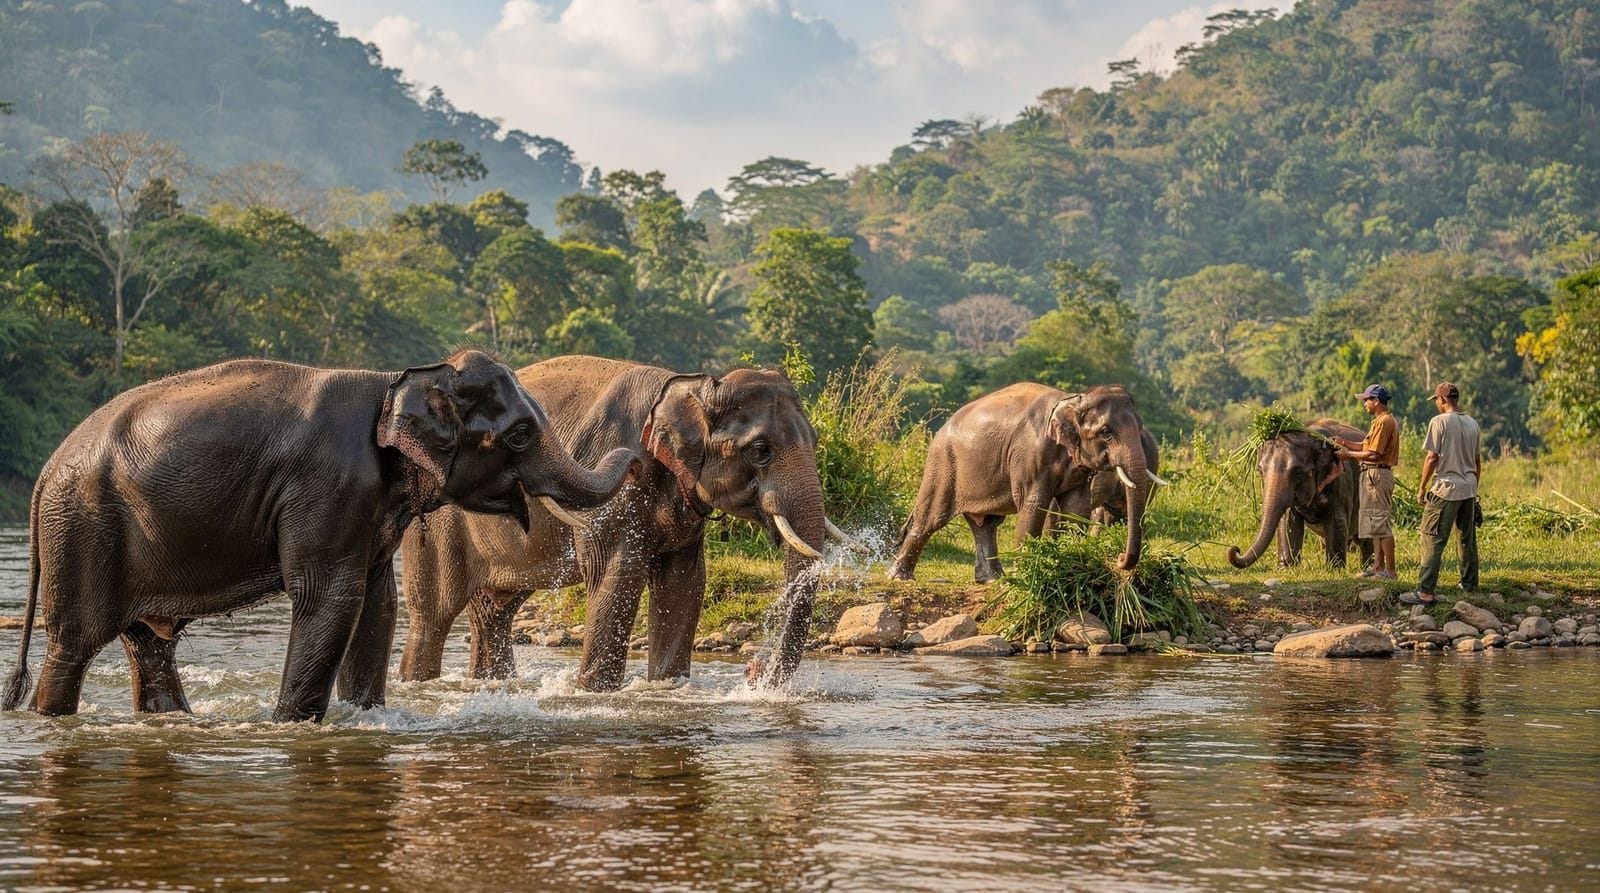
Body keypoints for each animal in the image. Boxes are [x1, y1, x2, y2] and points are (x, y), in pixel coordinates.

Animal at [1, 349, 637, 722]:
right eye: (521, 434)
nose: (637, 452)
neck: (398, 380)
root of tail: (42, 478)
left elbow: (377, 602)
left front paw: (364, 718)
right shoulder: (331, 482)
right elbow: (330, 597)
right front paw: (294, 727)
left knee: (149, 643)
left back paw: (169, 718)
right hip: (82, 529)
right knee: (76, 640)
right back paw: (48, 718)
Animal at [399, 356, 848, 692]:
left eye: (814, 440)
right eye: (760, 450)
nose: (753, 672)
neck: (690, 385)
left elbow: (685, 581)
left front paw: (667, 687)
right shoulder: (616, 498)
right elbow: (617, 574)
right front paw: (594, 692)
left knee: (494, 610)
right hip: (434, 526)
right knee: (434, 614)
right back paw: (416, 683)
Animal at [889, 383, 1163, 582]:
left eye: (1139, 428)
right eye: (1106, 432)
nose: (1119, 558)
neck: (1074, 399)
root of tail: (942, 428)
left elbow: (1075, 510)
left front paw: (1072, 565)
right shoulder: (1030, 454)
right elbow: (1034, 505)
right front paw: (1029, 573)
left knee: (986, 523)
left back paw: (993, 580)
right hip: (944, 462)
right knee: (931, 518)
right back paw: (899, 577)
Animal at [1225, 418, 1374, 570]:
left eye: (1298, 473)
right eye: (1260, 471)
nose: (1235, 549)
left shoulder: (1340, 482)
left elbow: (1336, 521)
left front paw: (1334, 569)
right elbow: (1288, 521)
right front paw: (1286, 568)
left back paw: (1369, 567)